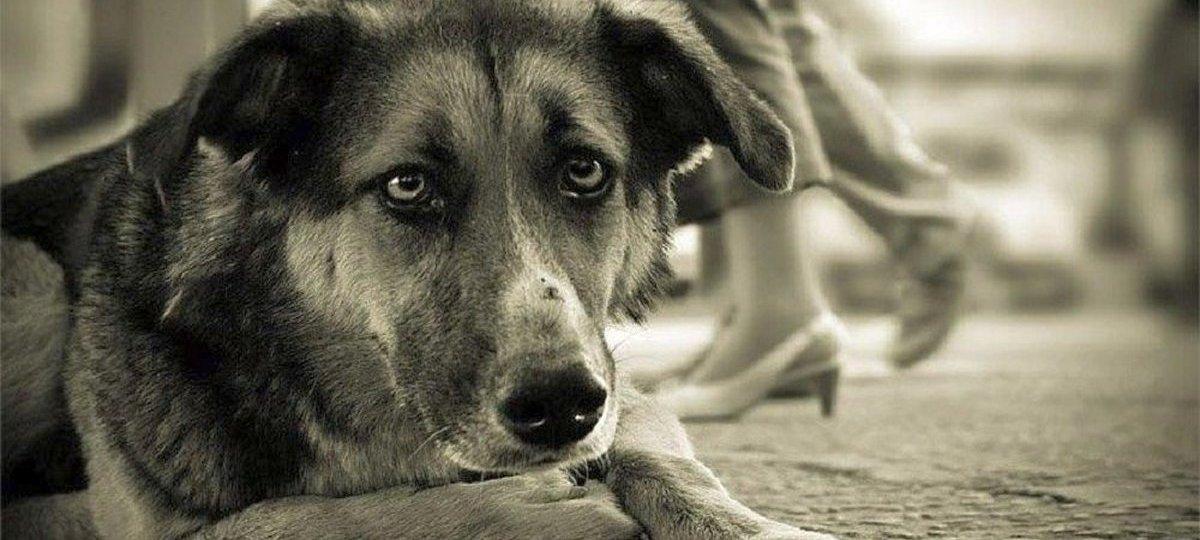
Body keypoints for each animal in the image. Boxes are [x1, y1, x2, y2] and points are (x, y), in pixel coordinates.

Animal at [1, 1, 832, 537]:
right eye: (407, 185)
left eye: (585, 171)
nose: (561, 406)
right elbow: (296, 521)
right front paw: (531, 512)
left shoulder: (620, 389)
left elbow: (657, 452)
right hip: (33, 283)